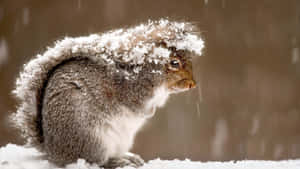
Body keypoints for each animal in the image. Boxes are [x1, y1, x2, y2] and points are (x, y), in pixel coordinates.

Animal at [11, 19, 204, 168]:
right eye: (174, 63)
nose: (193, 84)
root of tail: (53, 151)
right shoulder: (131, 91)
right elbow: (137, 106)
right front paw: (149, 112)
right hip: (92, 139)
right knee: (96, 161)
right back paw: (117, 162)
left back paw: (128, 157)